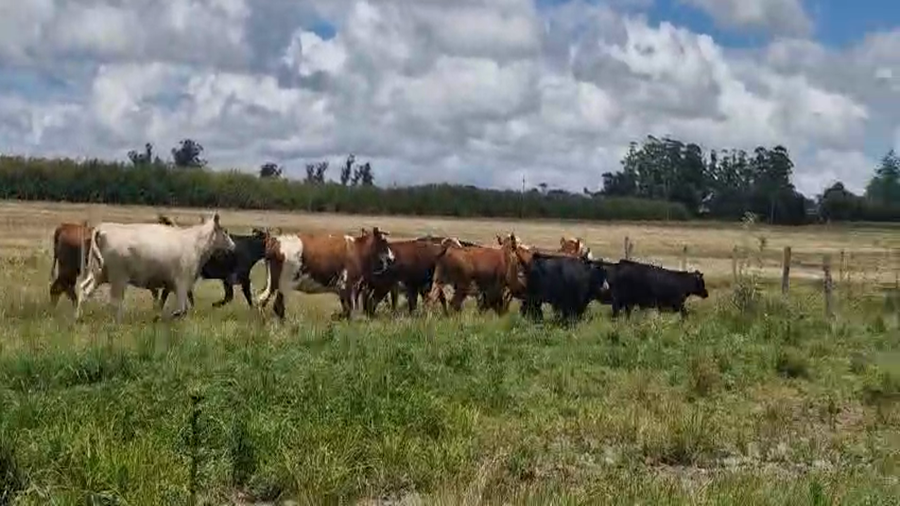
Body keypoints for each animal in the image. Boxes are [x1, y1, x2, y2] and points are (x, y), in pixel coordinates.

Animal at [74, 212, 235, 322]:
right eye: (225, 231)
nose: (233, 246)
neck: (195, 243)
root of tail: (103, 228)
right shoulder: (182, 282)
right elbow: (182, 308)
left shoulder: (171, 284)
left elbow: (168, 304)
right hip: (118, 278)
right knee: (114, 302)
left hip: (98, 274)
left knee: (84, 290)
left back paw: (78, 318)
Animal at [256, 227, 395, 320]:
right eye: (383, 242)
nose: (392, 258)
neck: (357, 250)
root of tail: (275, 242)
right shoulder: (348, 285)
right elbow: (349, 310)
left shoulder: (343, 289)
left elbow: (346, 310)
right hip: (284, 283)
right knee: (276, 305)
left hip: (273, 283)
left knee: (262, 299)